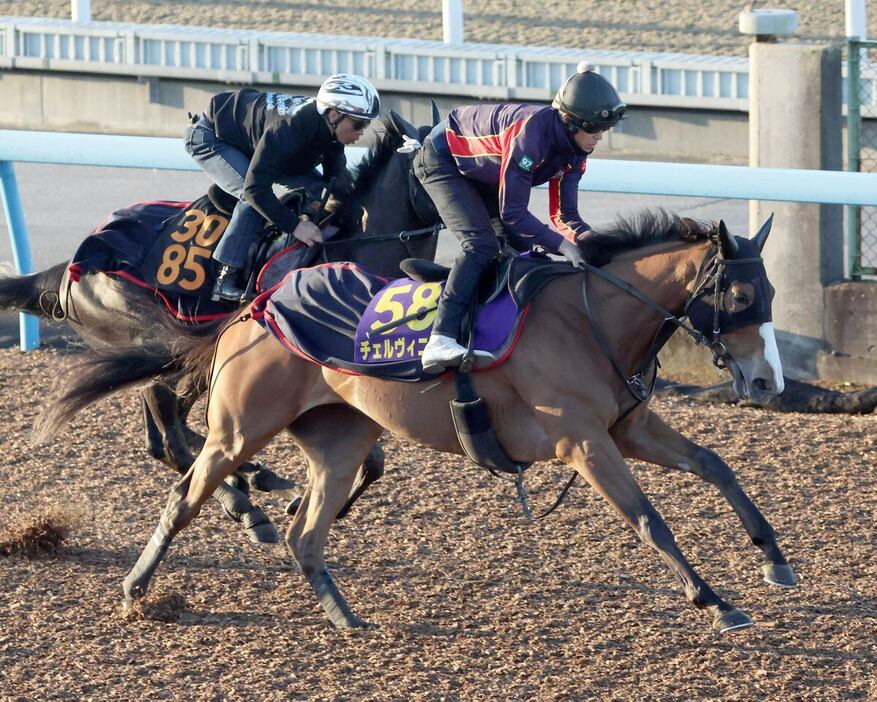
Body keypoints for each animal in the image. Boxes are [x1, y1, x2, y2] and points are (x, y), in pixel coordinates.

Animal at [0, 113, 438, 544]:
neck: (351, 247)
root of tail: (69, 269)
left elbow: (372, 460)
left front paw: (307, 499)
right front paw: (299, 500)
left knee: (166, 429)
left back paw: (257, 478)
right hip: (162, 344)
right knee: (168, 424)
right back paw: (247, 508)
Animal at [37, 209, 796, 632]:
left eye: (770, 289)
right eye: (737, 294)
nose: (765, 380)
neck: (589, 320)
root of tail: (255, 305)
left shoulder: (625, 430)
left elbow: (716, 465)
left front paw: (774, 559)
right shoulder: (582, 443)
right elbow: (648, 519)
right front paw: (714, 600)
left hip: (340, 439)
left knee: (306, 533)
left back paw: (345, 617)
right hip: (239, 427)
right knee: (186, 492)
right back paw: (140, 588)